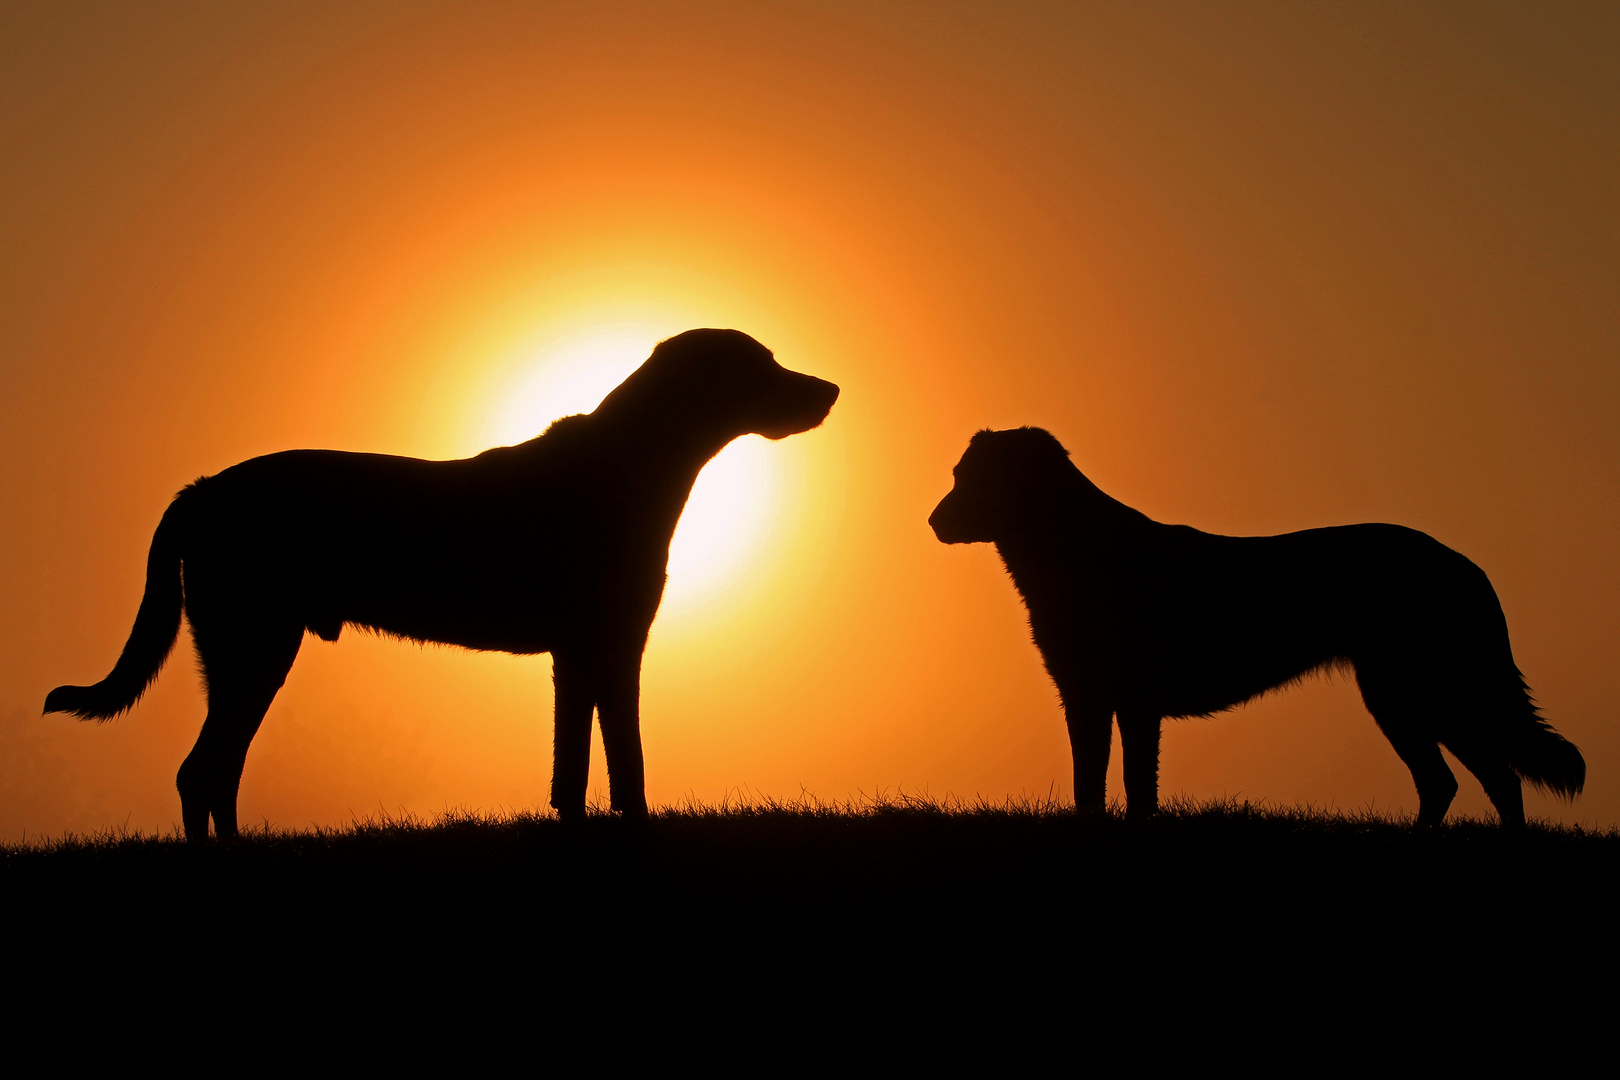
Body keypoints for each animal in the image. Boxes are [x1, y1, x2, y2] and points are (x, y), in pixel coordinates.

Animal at [939, 427, 1581, 822]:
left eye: (975, 479)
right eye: (958, 474)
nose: (932, 521)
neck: (1071, 545)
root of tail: (1466, 566)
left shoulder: (1133, 703)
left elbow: (1132, 788)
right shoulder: (1090, 698)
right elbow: (1092, 787)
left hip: (1417, 693)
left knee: (1487, 779)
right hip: (1412, 696)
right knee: (1462, 780)